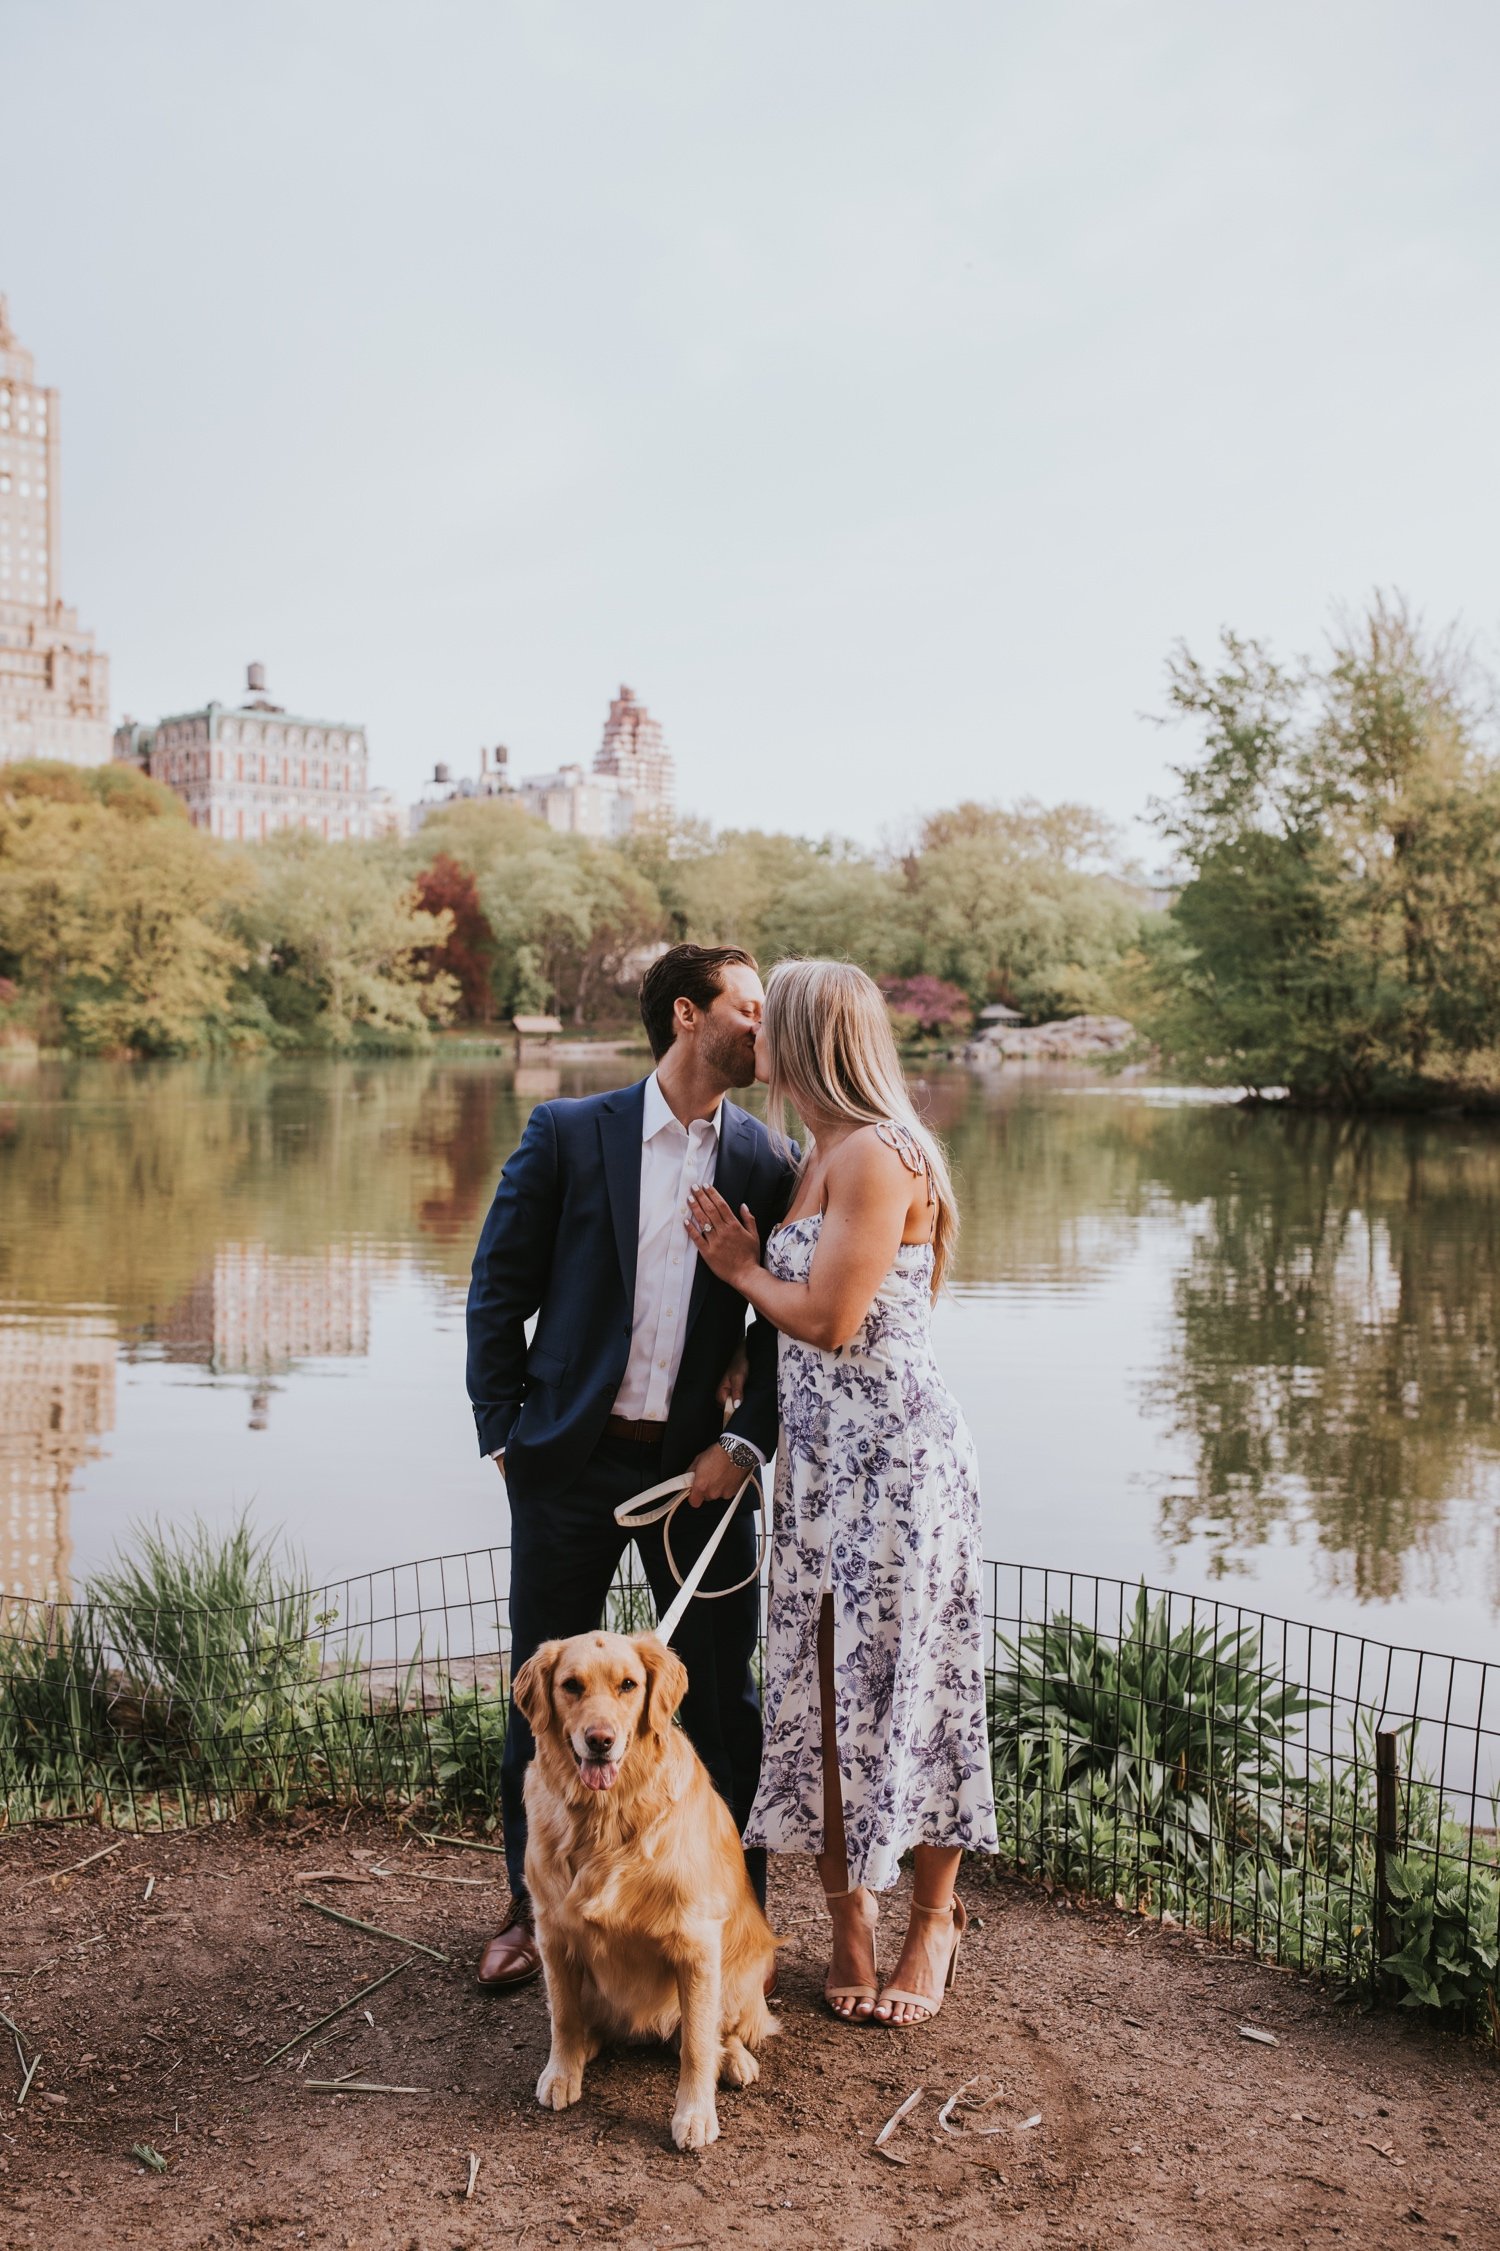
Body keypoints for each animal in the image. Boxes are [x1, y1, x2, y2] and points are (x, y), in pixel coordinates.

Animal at [509, 1638, 774, 2142]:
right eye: (571, 1685)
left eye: (628, 1685)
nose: (600, 1740)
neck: (604, 1817)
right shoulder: (553, 1934)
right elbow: (563, 2017)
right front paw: (561, 2071)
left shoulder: (696, 1942)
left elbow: (697, 2044)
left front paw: (695, 2115)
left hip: (740, 1970)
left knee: (718, 2030)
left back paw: (736, 2060)